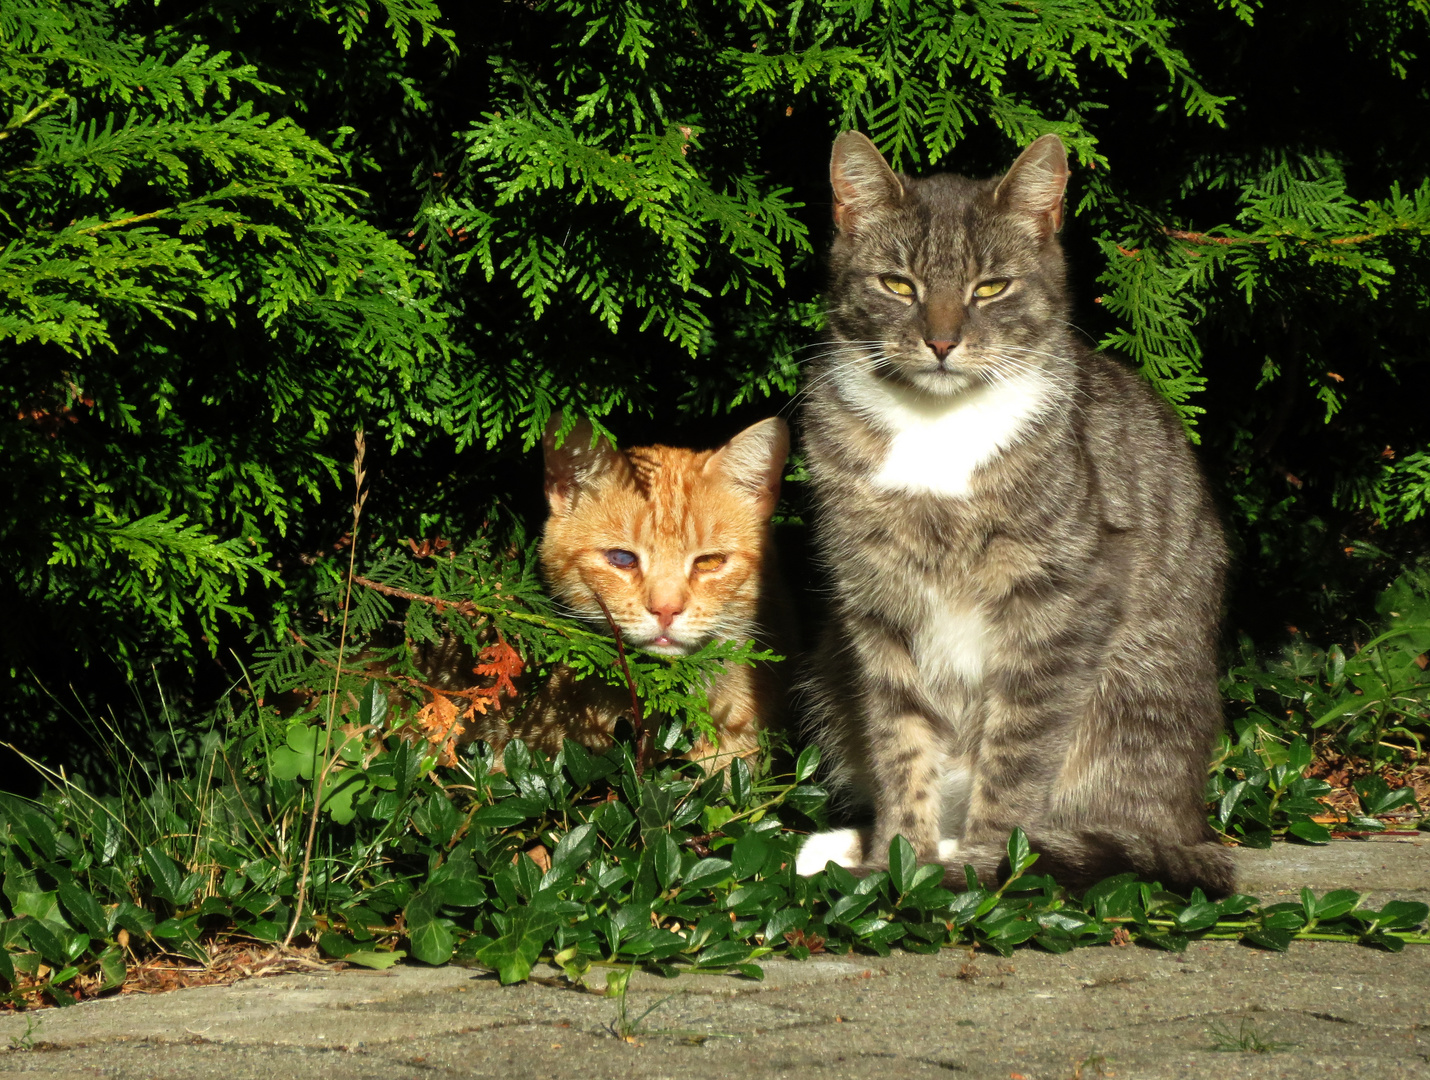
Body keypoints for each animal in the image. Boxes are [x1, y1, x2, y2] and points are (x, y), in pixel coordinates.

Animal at [800, 130, 1235, 898]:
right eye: (899, 284)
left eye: (990, 287)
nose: (942, 342)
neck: (937, 428)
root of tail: (1191, 826)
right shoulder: (875, 607)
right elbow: (899, 743)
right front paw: (896, 859)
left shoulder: (1064, 598)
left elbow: (1020, 747)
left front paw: (985, 862)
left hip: (1131, 701)